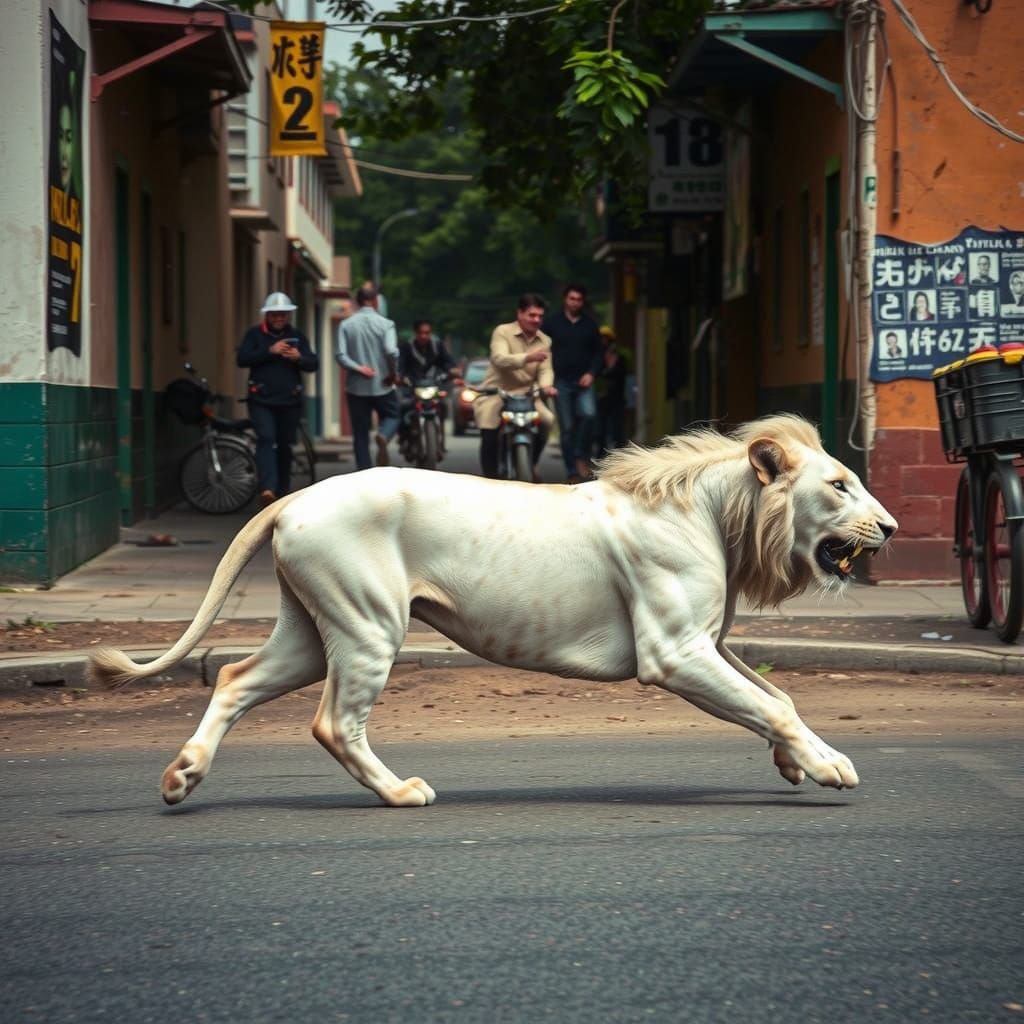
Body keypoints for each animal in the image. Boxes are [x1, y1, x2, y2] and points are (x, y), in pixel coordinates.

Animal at [89, 414, 896, 808]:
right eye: (840, 484)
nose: (890, 528)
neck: (718, 514)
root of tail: (293, 496)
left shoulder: (707, 645)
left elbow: (774, 695)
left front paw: (793, 763)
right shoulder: (674, 652)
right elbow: (777, 704)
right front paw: (828, 767)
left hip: (313, 635)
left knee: (233, 679)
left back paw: (182, 777)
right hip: (367, 624)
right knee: (333, 722)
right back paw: (401, 794)